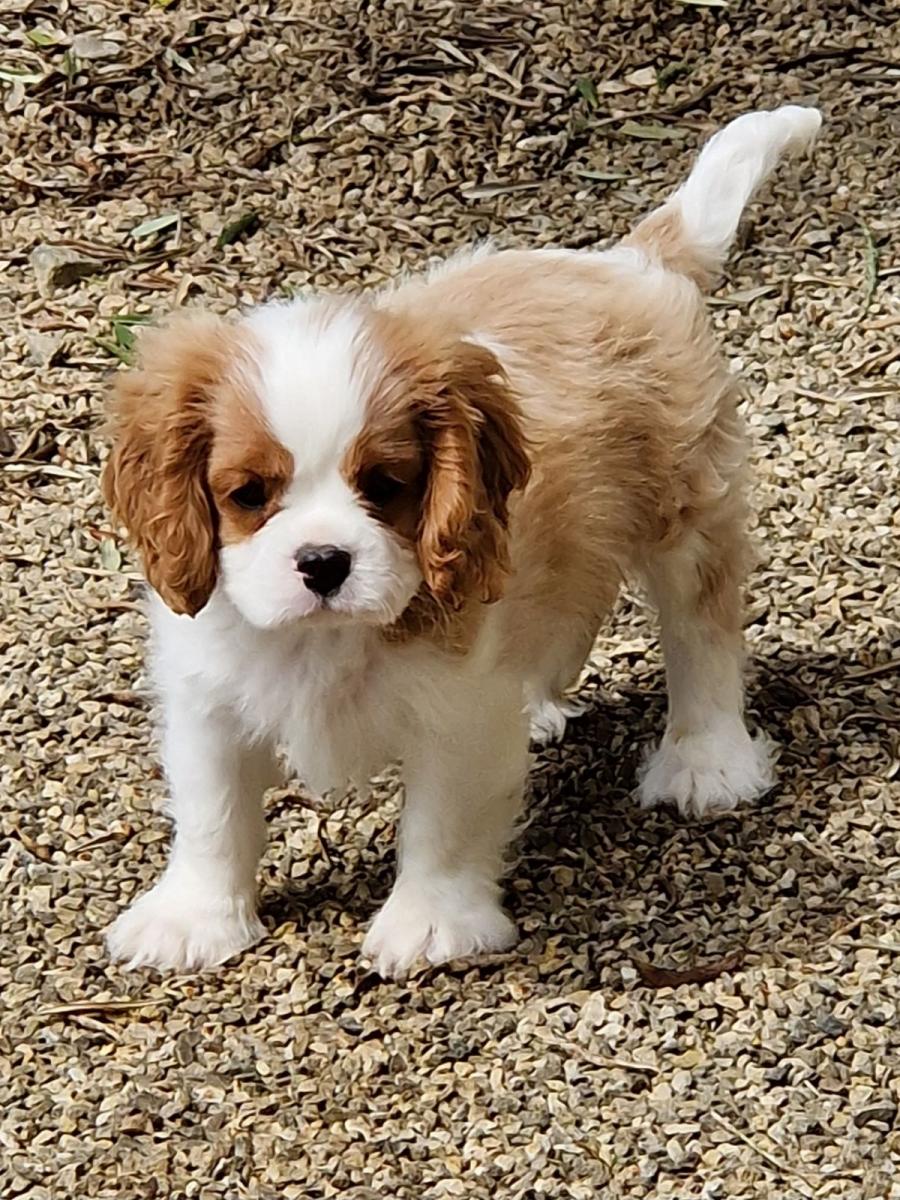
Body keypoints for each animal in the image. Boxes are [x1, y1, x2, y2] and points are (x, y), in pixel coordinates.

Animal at [102, 108, 820, 979]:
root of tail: (628, 259)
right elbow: (212, 814)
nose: (323, 562)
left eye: (385, 485)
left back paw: (706, 760)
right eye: (247, 496)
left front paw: (430, 923)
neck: (327, 640)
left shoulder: (456, 712)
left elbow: (441, 822)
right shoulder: (208, 696)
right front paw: (193, 918)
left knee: (701, 633)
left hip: (686, 512)